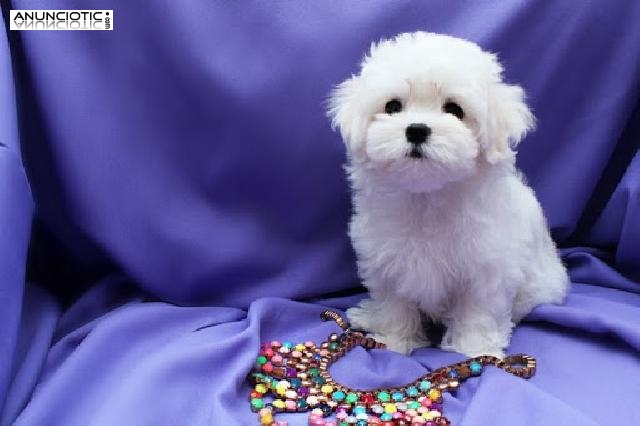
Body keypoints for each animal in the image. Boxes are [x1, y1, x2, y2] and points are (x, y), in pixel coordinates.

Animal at [328, 32, 568, 356]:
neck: (427, 195)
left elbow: (478, 310)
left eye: (455, 110)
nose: (417, 130)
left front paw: (475, 349)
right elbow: (394, 303)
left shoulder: (487, 266)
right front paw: (395, 340)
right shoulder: (387, 261)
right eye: (392, 106)